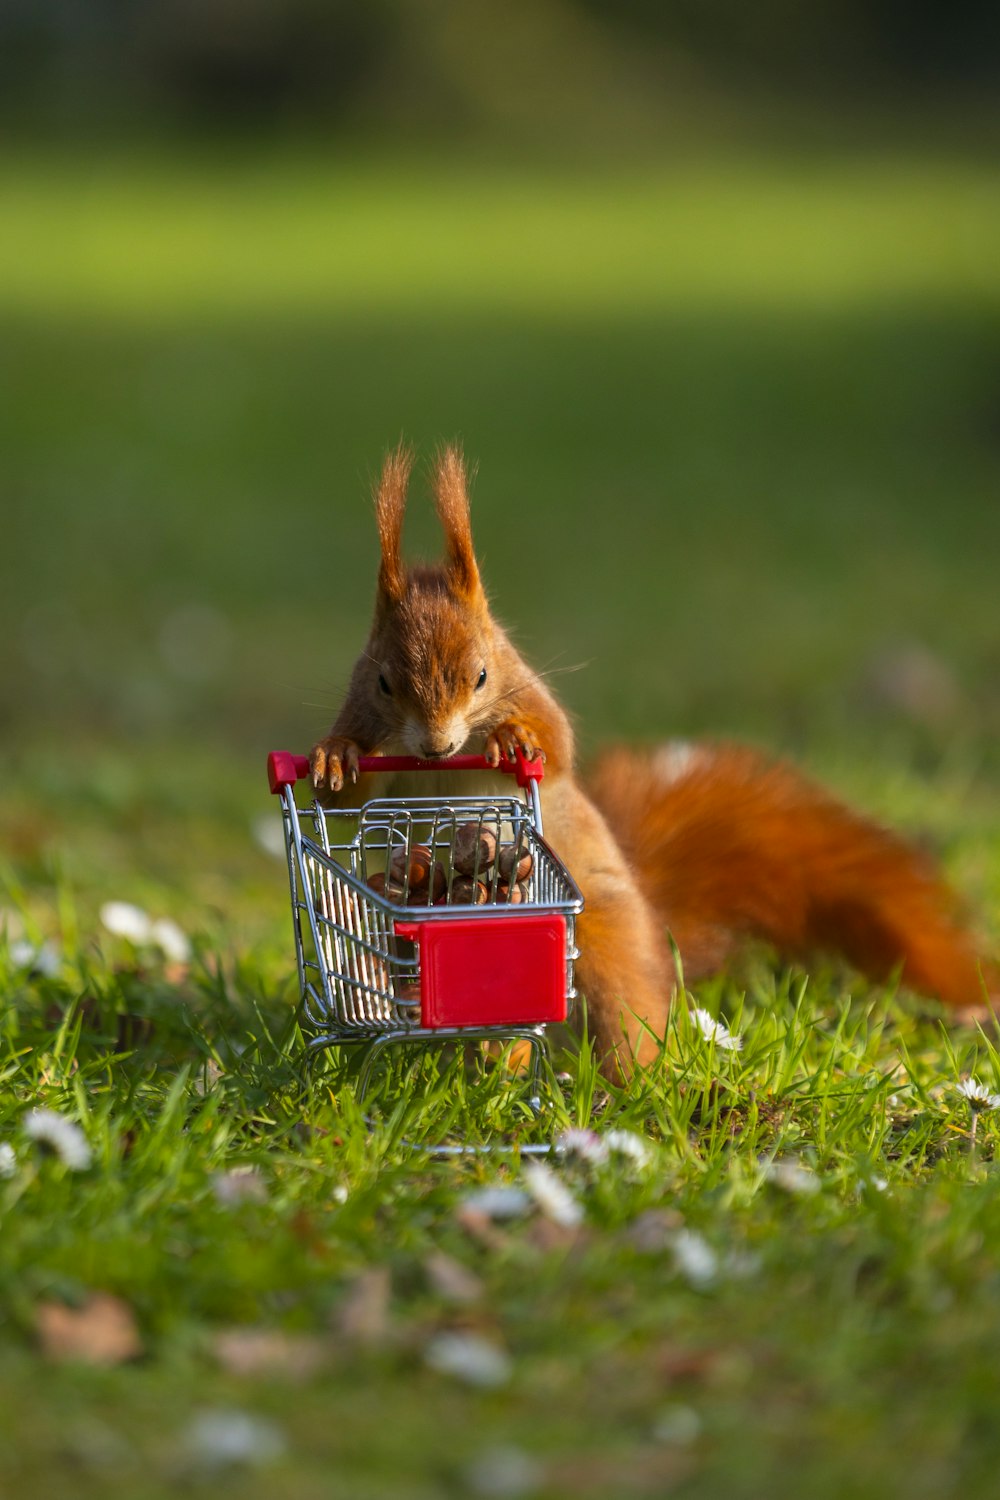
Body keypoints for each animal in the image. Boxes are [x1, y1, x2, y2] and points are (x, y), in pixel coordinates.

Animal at [308, 438, 995, 1074]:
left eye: (481, 676)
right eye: (383, 682)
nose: (438, 746)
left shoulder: (528, 691)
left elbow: (558, 746)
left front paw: (512, 738)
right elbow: (345, 795)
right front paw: (334, 757)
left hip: (608, 947)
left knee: (621, 1019)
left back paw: (622, 1082)